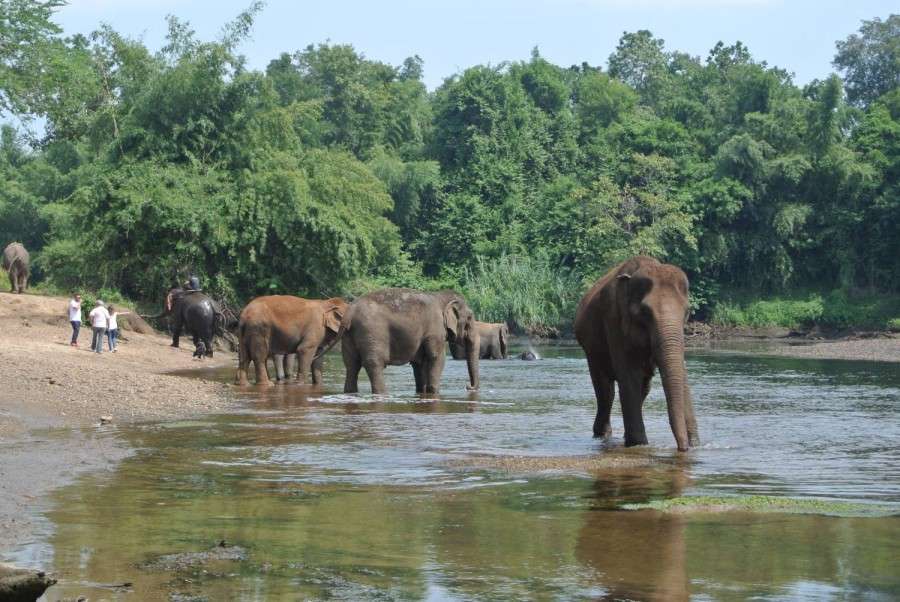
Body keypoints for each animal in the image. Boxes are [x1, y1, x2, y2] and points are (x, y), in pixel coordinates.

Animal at [340, 289, 480, 395]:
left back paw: (350, 392)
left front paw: (422, 392)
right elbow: (436, 358)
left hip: (349, 336)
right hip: (372, 332)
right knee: (374, 364)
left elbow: (419, 363)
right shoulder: (435, 330)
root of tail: (350, 312)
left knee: (351, 365)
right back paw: (382, 393)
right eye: (470, 318)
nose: (468, 386)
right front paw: (434, 392)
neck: (440, 297)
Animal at [574, 256, 699, 452]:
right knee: (605, 390)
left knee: (644, 386)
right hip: (591, 349)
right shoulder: (613, 320)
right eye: (645, 312)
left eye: (687, 312)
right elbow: (628, 376)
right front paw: (639, 444)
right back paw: (602, 434)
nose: (684, 448)